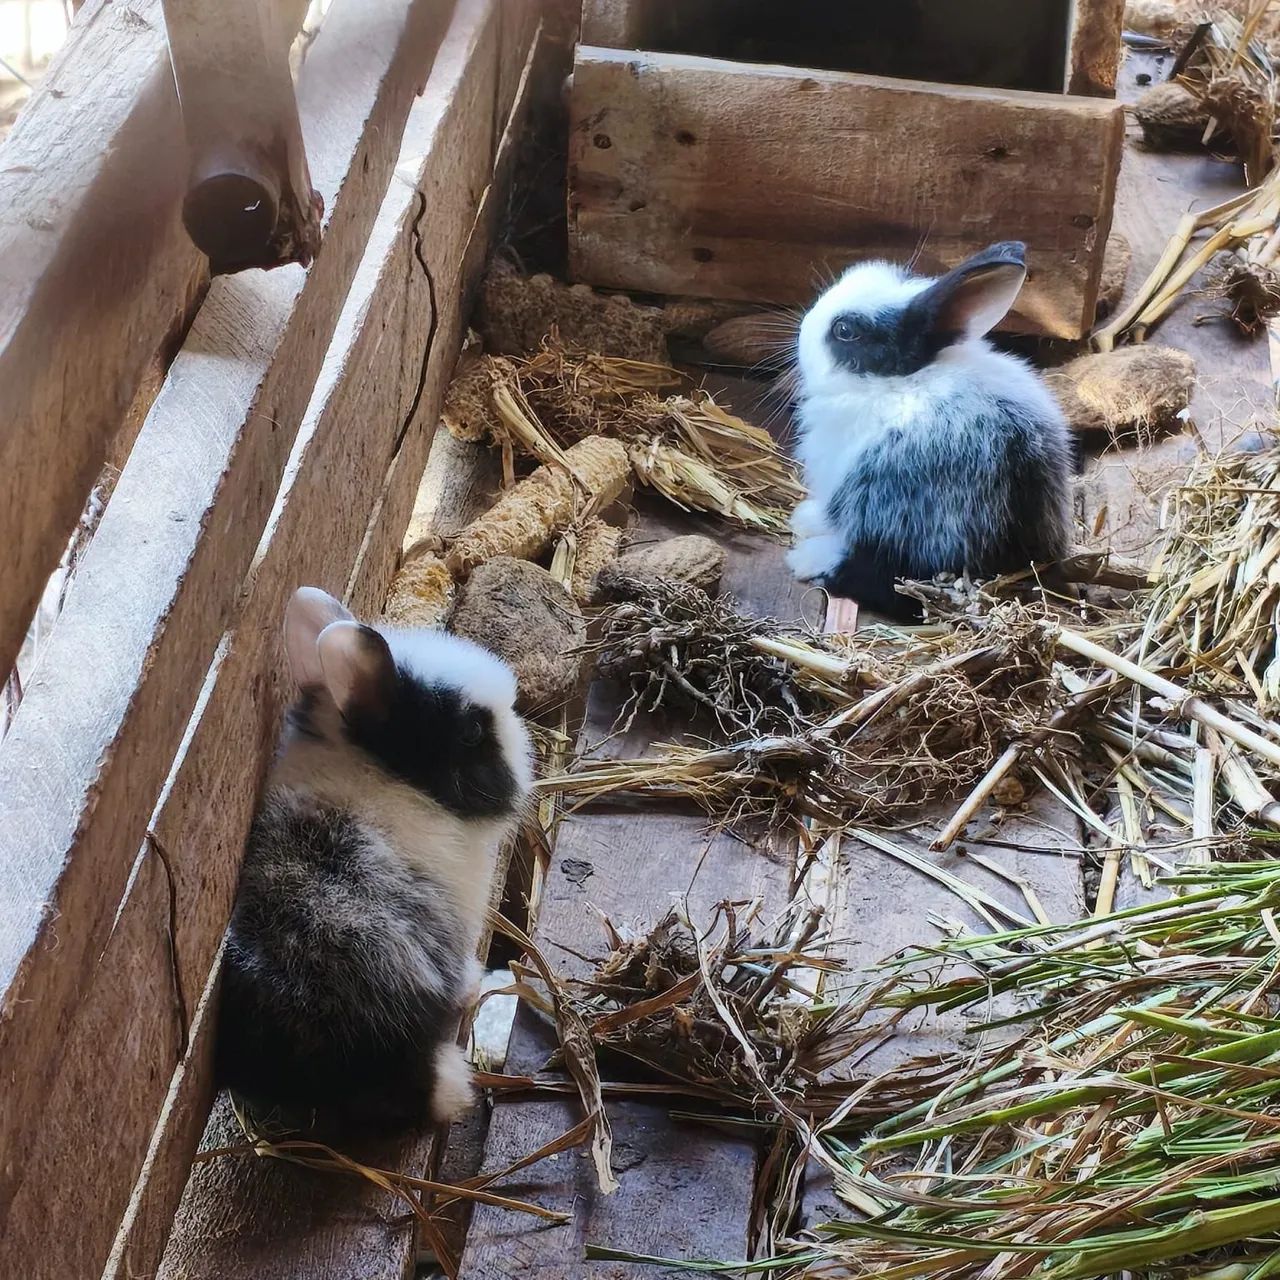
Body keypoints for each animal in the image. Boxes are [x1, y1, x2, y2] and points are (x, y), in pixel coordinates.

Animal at [786, 241, 1074, 620]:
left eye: (845, 331)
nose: (802, 331)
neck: (899, 380)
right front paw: (806, 516)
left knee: (887, 579)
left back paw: (807, 559)